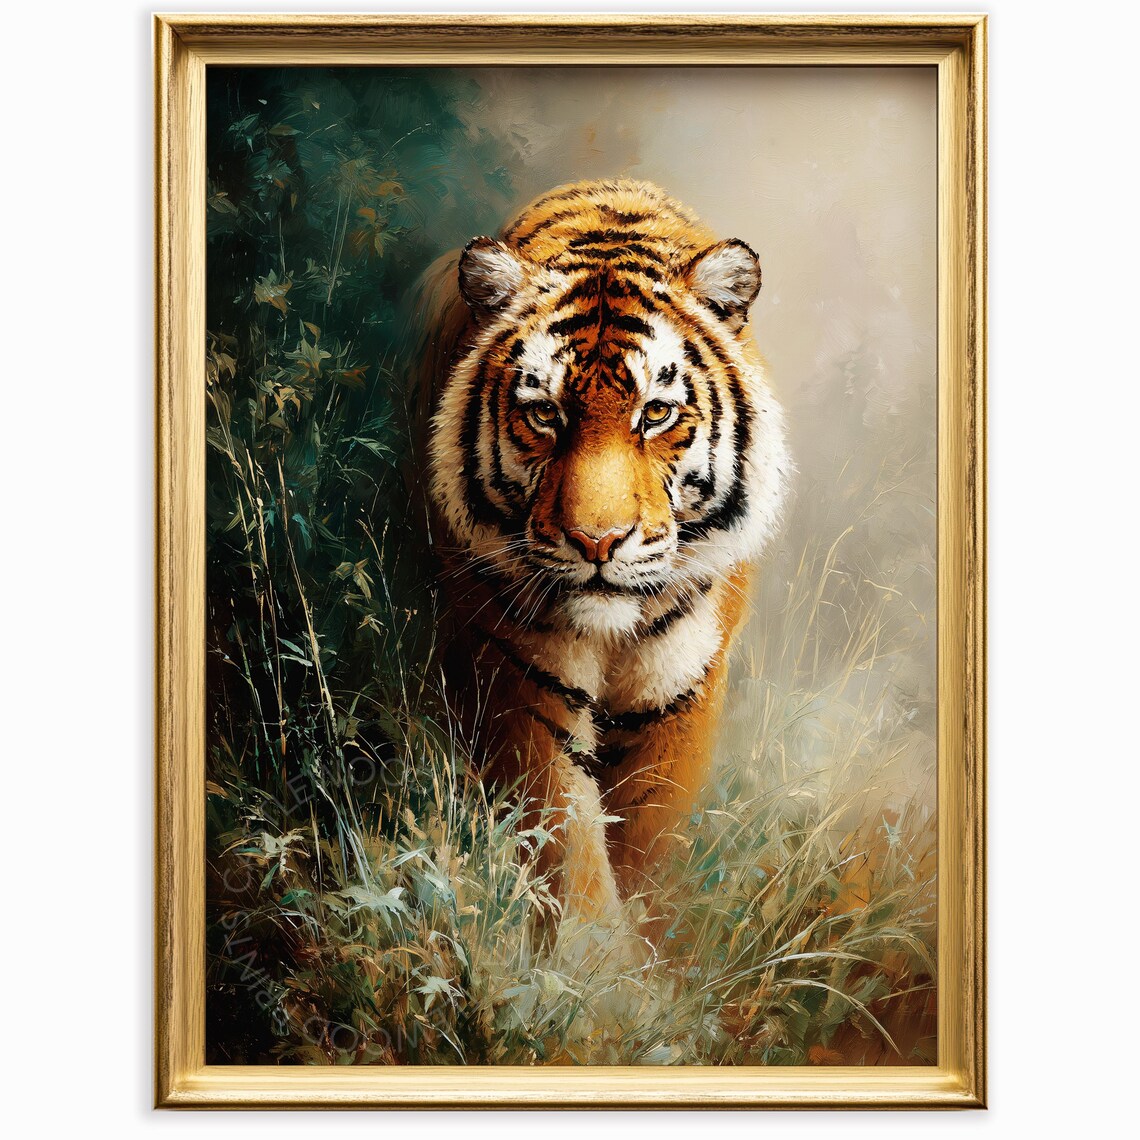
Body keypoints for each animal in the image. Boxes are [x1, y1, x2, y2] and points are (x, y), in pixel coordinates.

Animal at [419, 178, 791, 933]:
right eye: (545, 414)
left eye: (656, 414)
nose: (597, 541)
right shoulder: (520, 673)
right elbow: (564, 831)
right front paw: (593, 956)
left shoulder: (682, 689)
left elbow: (648, 833)